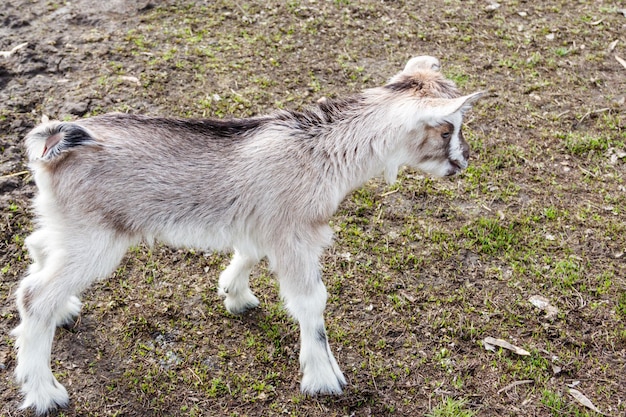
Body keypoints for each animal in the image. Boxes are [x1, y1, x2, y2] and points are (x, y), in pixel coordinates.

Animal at [12, 55, 480, 412]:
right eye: (446, 128)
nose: (463, 163)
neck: (325, 150)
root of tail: (56, 142)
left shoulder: (264, 224)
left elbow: (250, 254)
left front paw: (234, 294)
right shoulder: (295, 235)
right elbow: (311, 302)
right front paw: (324, 378)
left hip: (68, 227)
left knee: (36, 250)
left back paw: (66, 311)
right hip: (97, 240)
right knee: (35, 297)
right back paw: (44, 393)